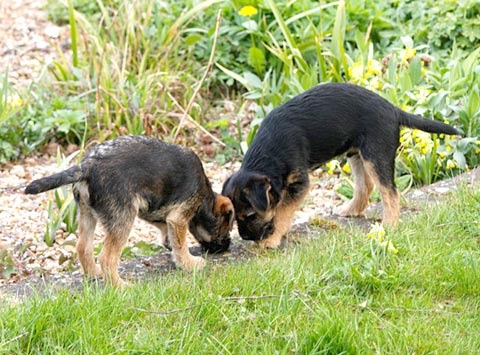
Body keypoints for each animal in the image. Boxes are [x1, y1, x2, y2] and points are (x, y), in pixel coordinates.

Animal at [24, 135, 234, 288]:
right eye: (227, 228)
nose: (227, 246)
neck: (205, 196)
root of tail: (88, 165)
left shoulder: (151, 209)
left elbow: (168, 233)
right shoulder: (179, 217)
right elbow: (181, 244)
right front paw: (190, 264)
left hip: (86, 214)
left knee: (83, 247)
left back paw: (94, 273)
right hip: (122, 219)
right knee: (107, 258)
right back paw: (120, 287)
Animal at [222, 83, 462, 249]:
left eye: (251, 214)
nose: (245, 237)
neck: (268, 153)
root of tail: (393, 109)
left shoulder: (299, 183)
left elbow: (282, 211)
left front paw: (271, 239)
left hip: (376, 155)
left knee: (390, 192)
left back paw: (389, 225)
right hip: (356, 154)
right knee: (366, 186)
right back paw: (351, 210)